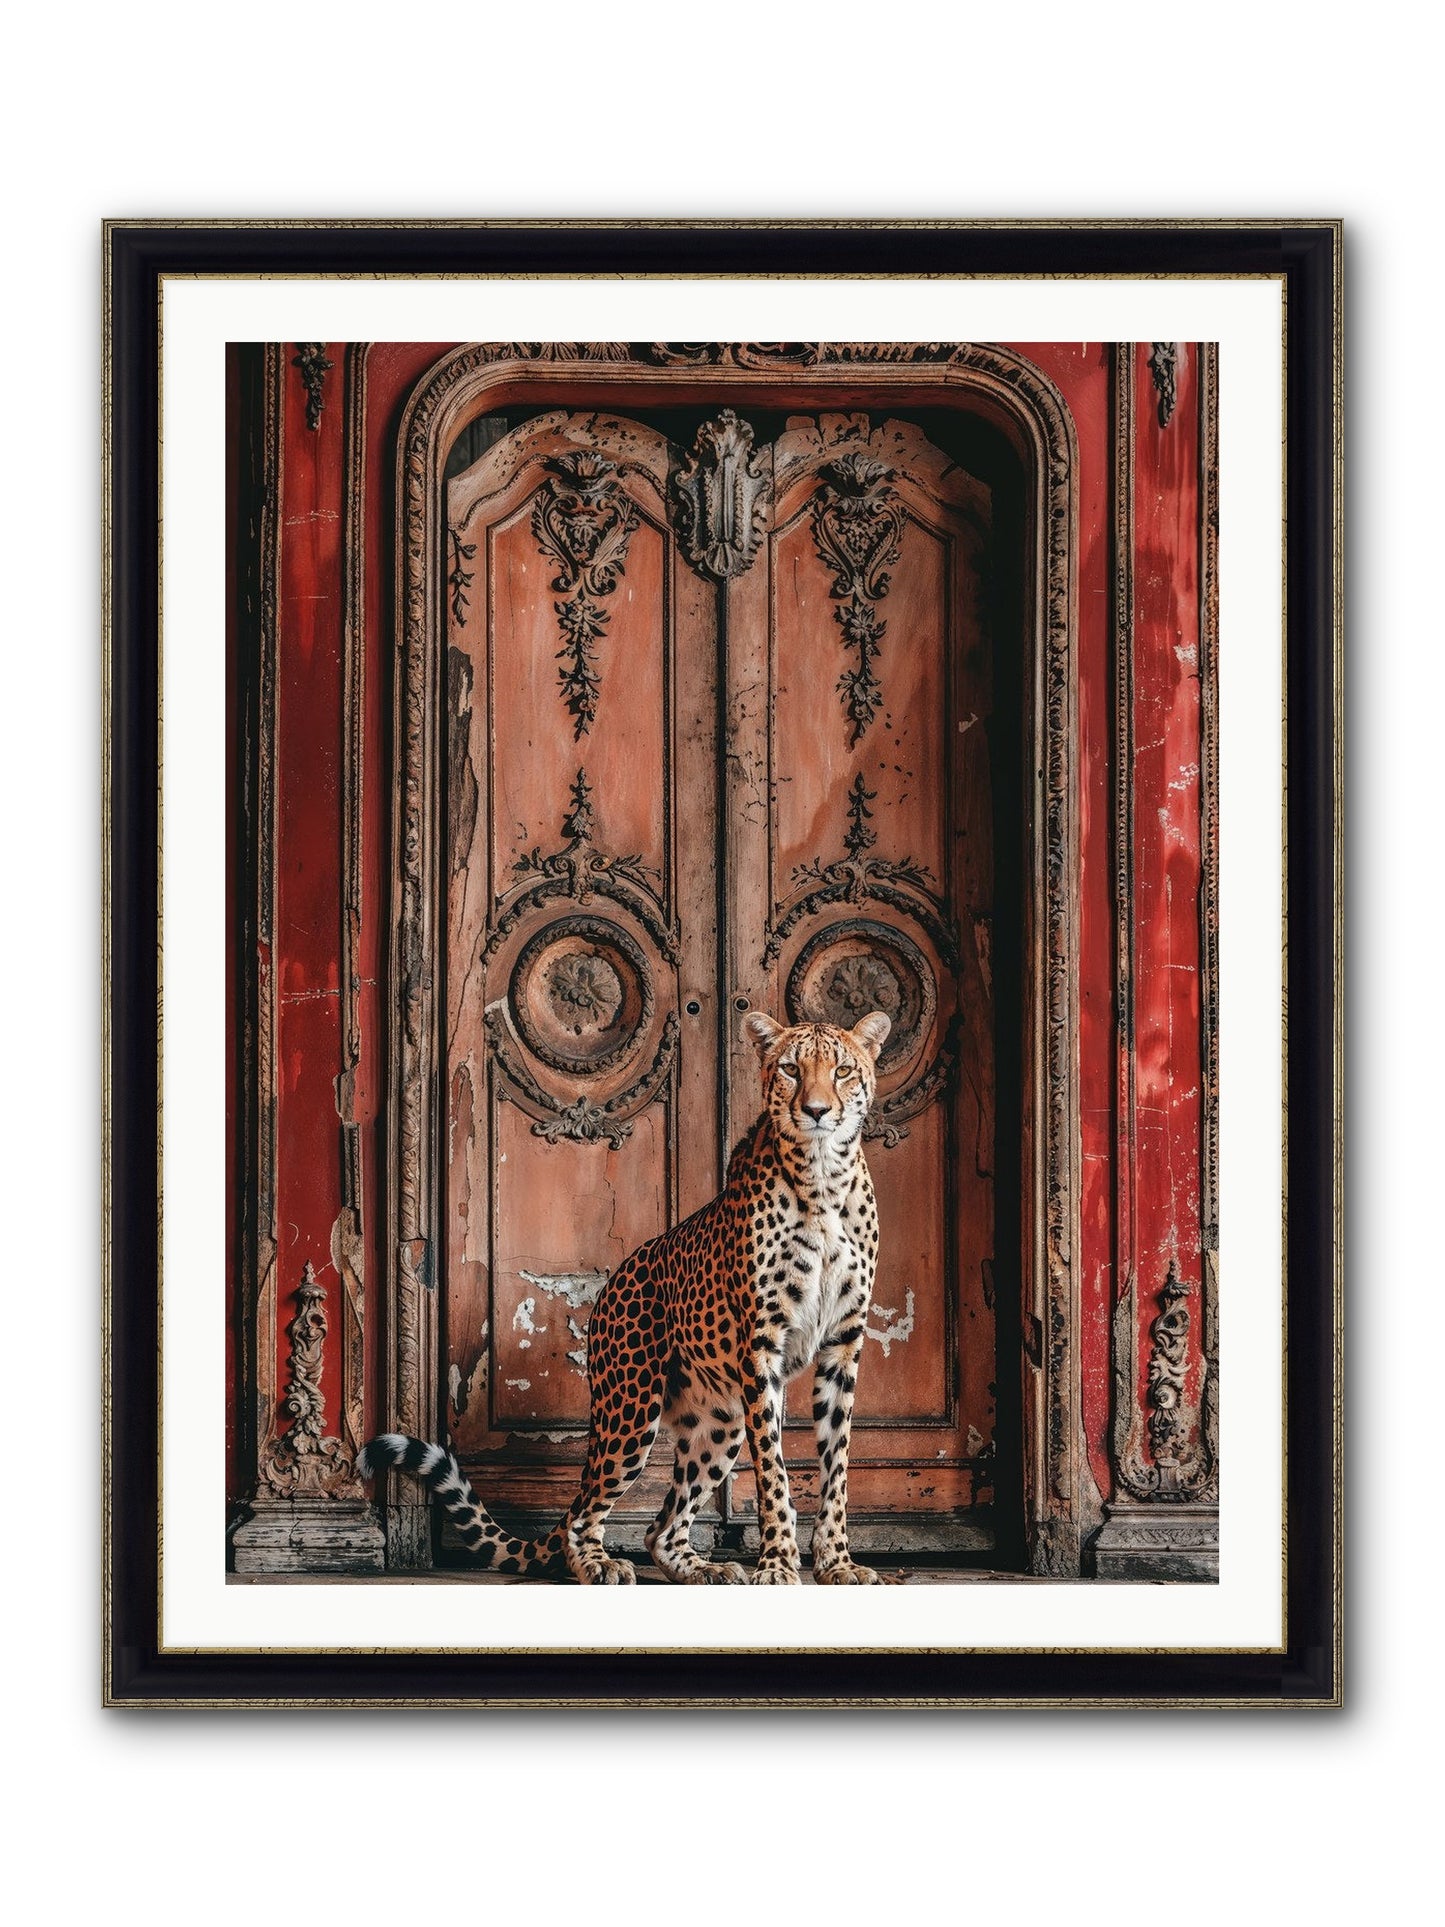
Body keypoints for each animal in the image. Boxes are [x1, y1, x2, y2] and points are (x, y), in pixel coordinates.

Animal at [358, 1008, 892, 1585]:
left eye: (842, 1071)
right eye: (792, 1069)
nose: (816, 1111)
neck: (823, 1179)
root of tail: (613, 1281)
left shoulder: (843, 1342)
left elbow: (836, 1465)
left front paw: (837, 1563)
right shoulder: (762, 1346)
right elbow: (773, 1469)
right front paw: (776, 1564)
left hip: (719, 1422)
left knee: (659, 1529)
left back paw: (705, 1569)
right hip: (632, 1409)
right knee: (584, 1513)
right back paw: (600, 1563)